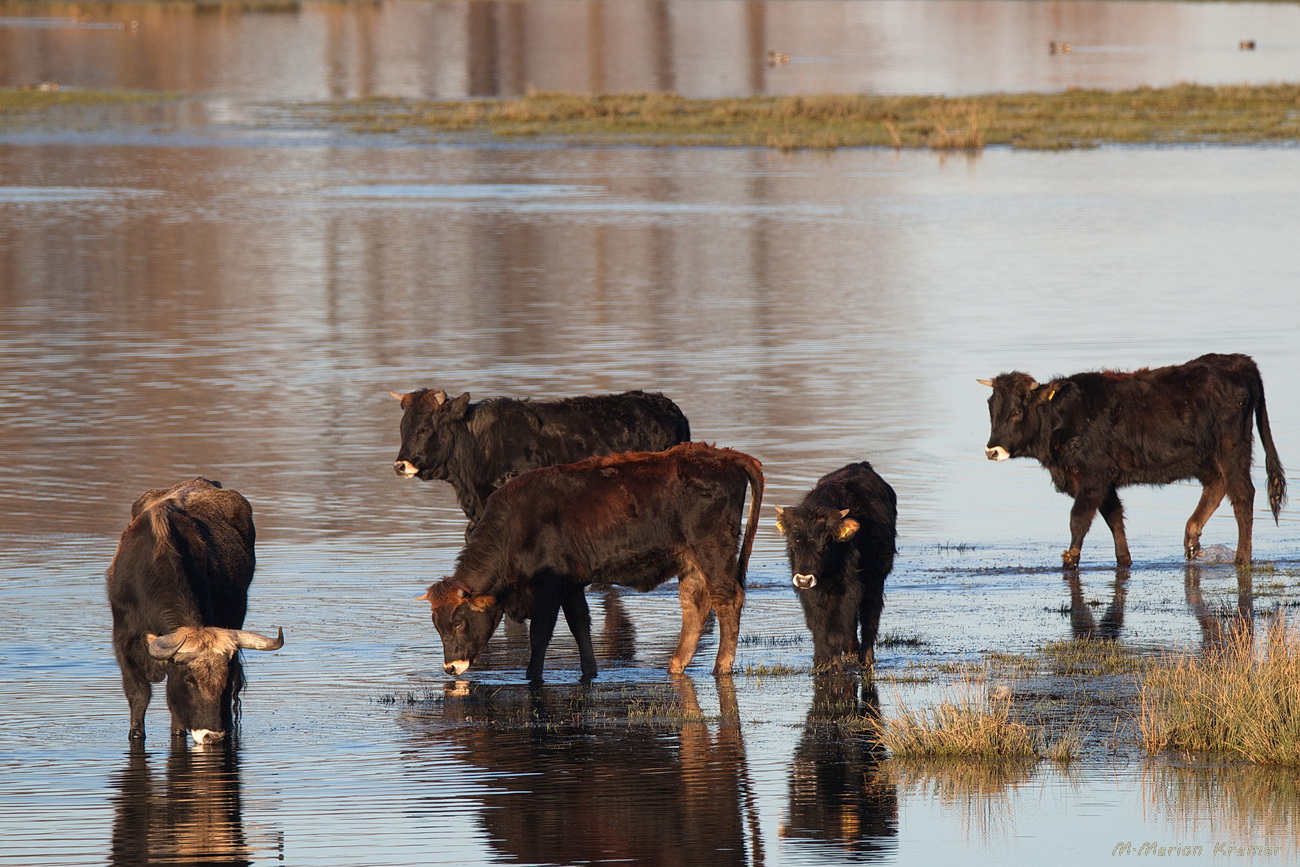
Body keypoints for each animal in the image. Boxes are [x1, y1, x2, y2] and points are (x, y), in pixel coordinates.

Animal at [418, 444, 759, 681]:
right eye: (436, 625)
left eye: (459, 622)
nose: (450, 667)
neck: (518, 524)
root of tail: (723, 456)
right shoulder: (571, 586)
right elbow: (580, 625)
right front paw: (590, 670)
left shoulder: (549, 586)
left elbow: (540, 633)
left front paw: (531, 675)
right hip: (690, 562)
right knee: (695, 607)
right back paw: (676, 665)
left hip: (713, 552)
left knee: (727, 601)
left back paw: (720, 667)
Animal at [774, 465, 899, 670]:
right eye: (793, 540)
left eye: (827, 541)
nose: (804, 579)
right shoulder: (811, 594)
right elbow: (818, 626)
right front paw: (821, 661)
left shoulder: (850, 588)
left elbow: (840, 625)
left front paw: (835, 663)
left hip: (875, 582)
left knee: (869, 618)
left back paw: (865, 658)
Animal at [977, 353, 1284, 569]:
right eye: (991, 409)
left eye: (1016, 412)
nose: (992, 451)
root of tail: (1240, 361)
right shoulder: (1104, 481)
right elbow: (1114, 517)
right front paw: (1124, 559)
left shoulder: (1093, 476)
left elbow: (1079, 519)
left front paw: (1070, 561)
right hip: (1207, 457)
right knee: (1217, 487)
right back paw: (1191, 539)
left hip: (1233, 448)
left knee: (1242, 494)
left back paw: (1241, 557)